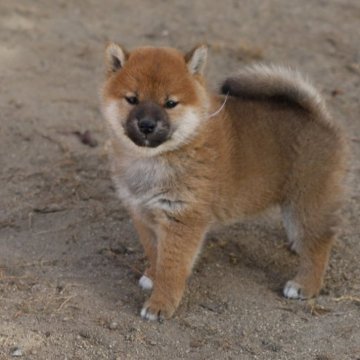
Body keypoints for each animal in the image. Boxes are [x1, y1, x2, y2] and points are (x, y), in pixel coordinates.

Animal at [100, 43, 348, 320]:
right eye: (132, 99)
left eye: (170, 103)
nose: (146, 125)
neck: (154, 160)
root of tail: (320, 118)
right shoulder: (143, 214)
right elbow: (155, 254)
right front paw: (152, 276)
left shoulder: (182, 220)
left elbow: (171, 268)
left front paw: (160, 304)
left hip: (307, 203)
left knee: (318, 245)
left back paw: (305, 285)